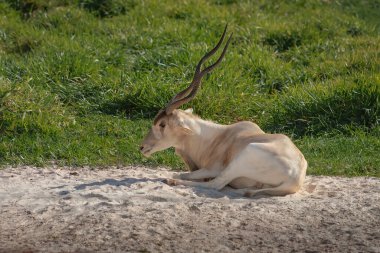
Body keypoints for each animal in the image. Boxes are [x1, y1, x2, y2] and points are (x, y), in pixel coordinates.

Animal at [141, 25, 308, 196]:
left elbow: (182, 174)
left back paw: (172, 181)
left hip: (241, 158)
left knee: (215, 184)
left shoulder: (212, 169)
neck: (213, 138)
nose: (142, 147)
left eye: (162, 124)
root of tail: (296, 177)